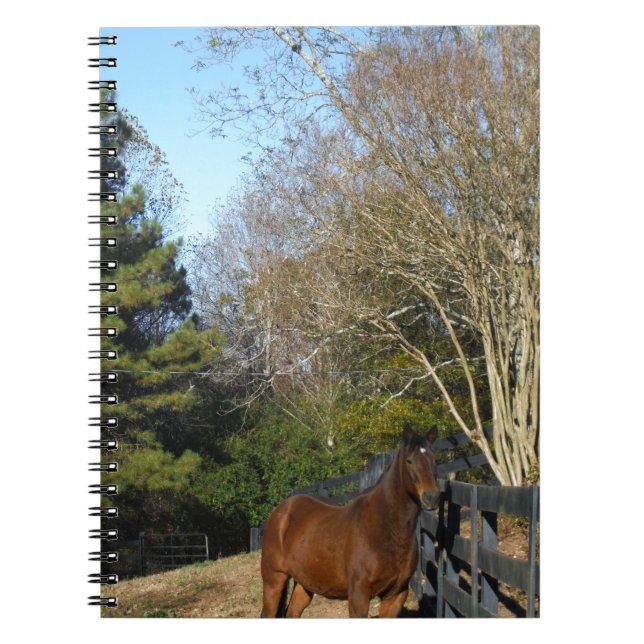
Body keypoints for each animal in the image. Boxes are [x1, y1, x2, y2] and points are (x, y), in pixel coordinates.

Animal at [260, 426, 440, 618]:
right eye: (409, 461)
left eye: (434, 459)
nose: (431, 497)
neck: (386, 529)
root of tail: (281, 511)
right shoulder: (359, 596)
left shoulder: (395, 596)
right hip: (274, 580)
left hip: (304, 582)